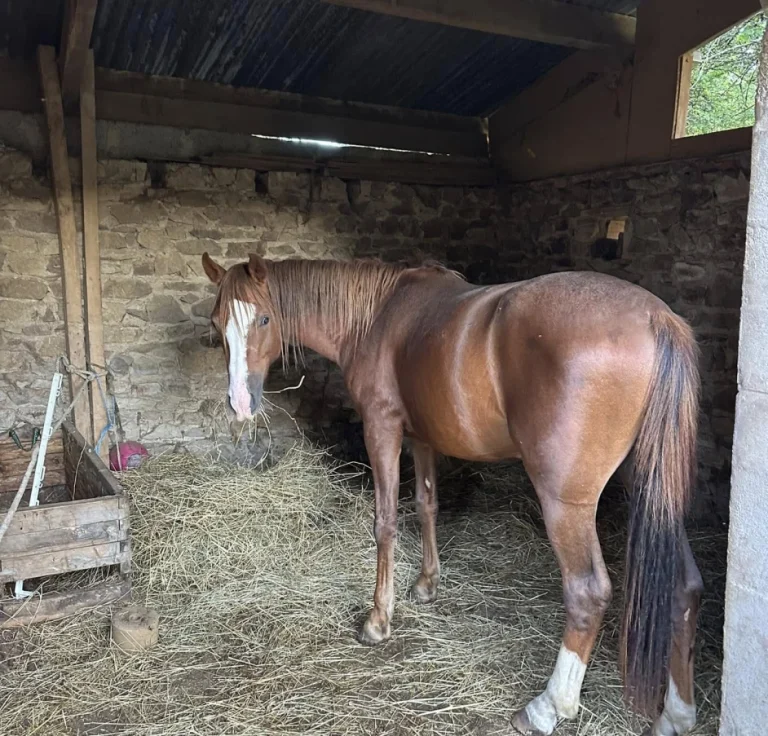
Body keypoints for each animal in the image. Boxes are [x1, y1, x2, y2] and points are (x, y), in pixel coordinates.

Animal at [201, 252, 703, 736]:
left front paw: (378, 621)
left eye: (264, 318)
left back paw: (547, 708)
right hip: (653, 491)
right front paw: (427, 584)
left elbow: (385, 522)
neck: (377, 315)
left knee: (587, 593)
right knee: (684, 587)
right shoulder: (421, 437)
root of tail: (657, 319)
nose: (240, 404)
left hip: (566, 504)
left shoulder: (382, 428)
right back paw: (676, 715)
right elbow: (427, 505)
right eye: (216, 321)